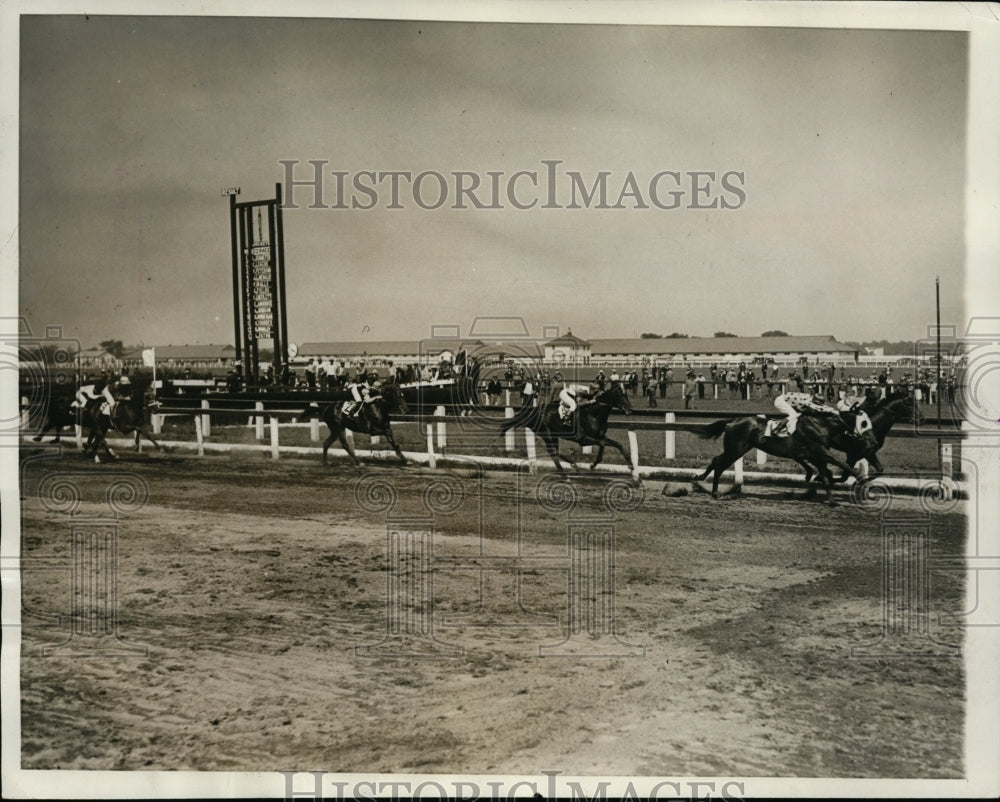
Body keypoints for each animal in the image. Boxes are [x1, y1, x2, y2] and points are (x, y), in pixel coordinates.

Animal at [500, 380, 632, 468]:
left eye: (626, 393)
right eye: (619, 394)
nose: (630, 409)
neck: (594, 415)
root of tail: (535, 410)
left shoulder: (600, 436)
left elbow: (616, 444)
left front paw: (630, 463)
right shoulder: (583, 439)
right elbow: (603, 444)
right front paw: (593, 464)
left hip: (554, 435)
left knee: (555, 451)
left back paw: (571, 462)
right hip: (547, 434)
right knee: (552, 451)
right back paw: (571, 462)